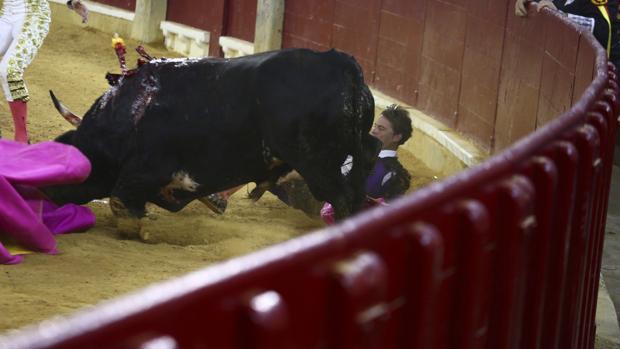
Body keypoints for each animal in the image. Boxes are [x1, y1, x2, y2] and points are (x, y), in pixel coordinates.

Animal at [43, 48, 380, 237]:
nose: (44, 192)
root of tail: (339, 62)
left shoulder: (148, 169)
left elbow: (120, 202)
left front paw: (142, 230)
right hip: (346, 150)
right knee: (366, 163)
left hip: (316, 162)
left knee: (342, 197)